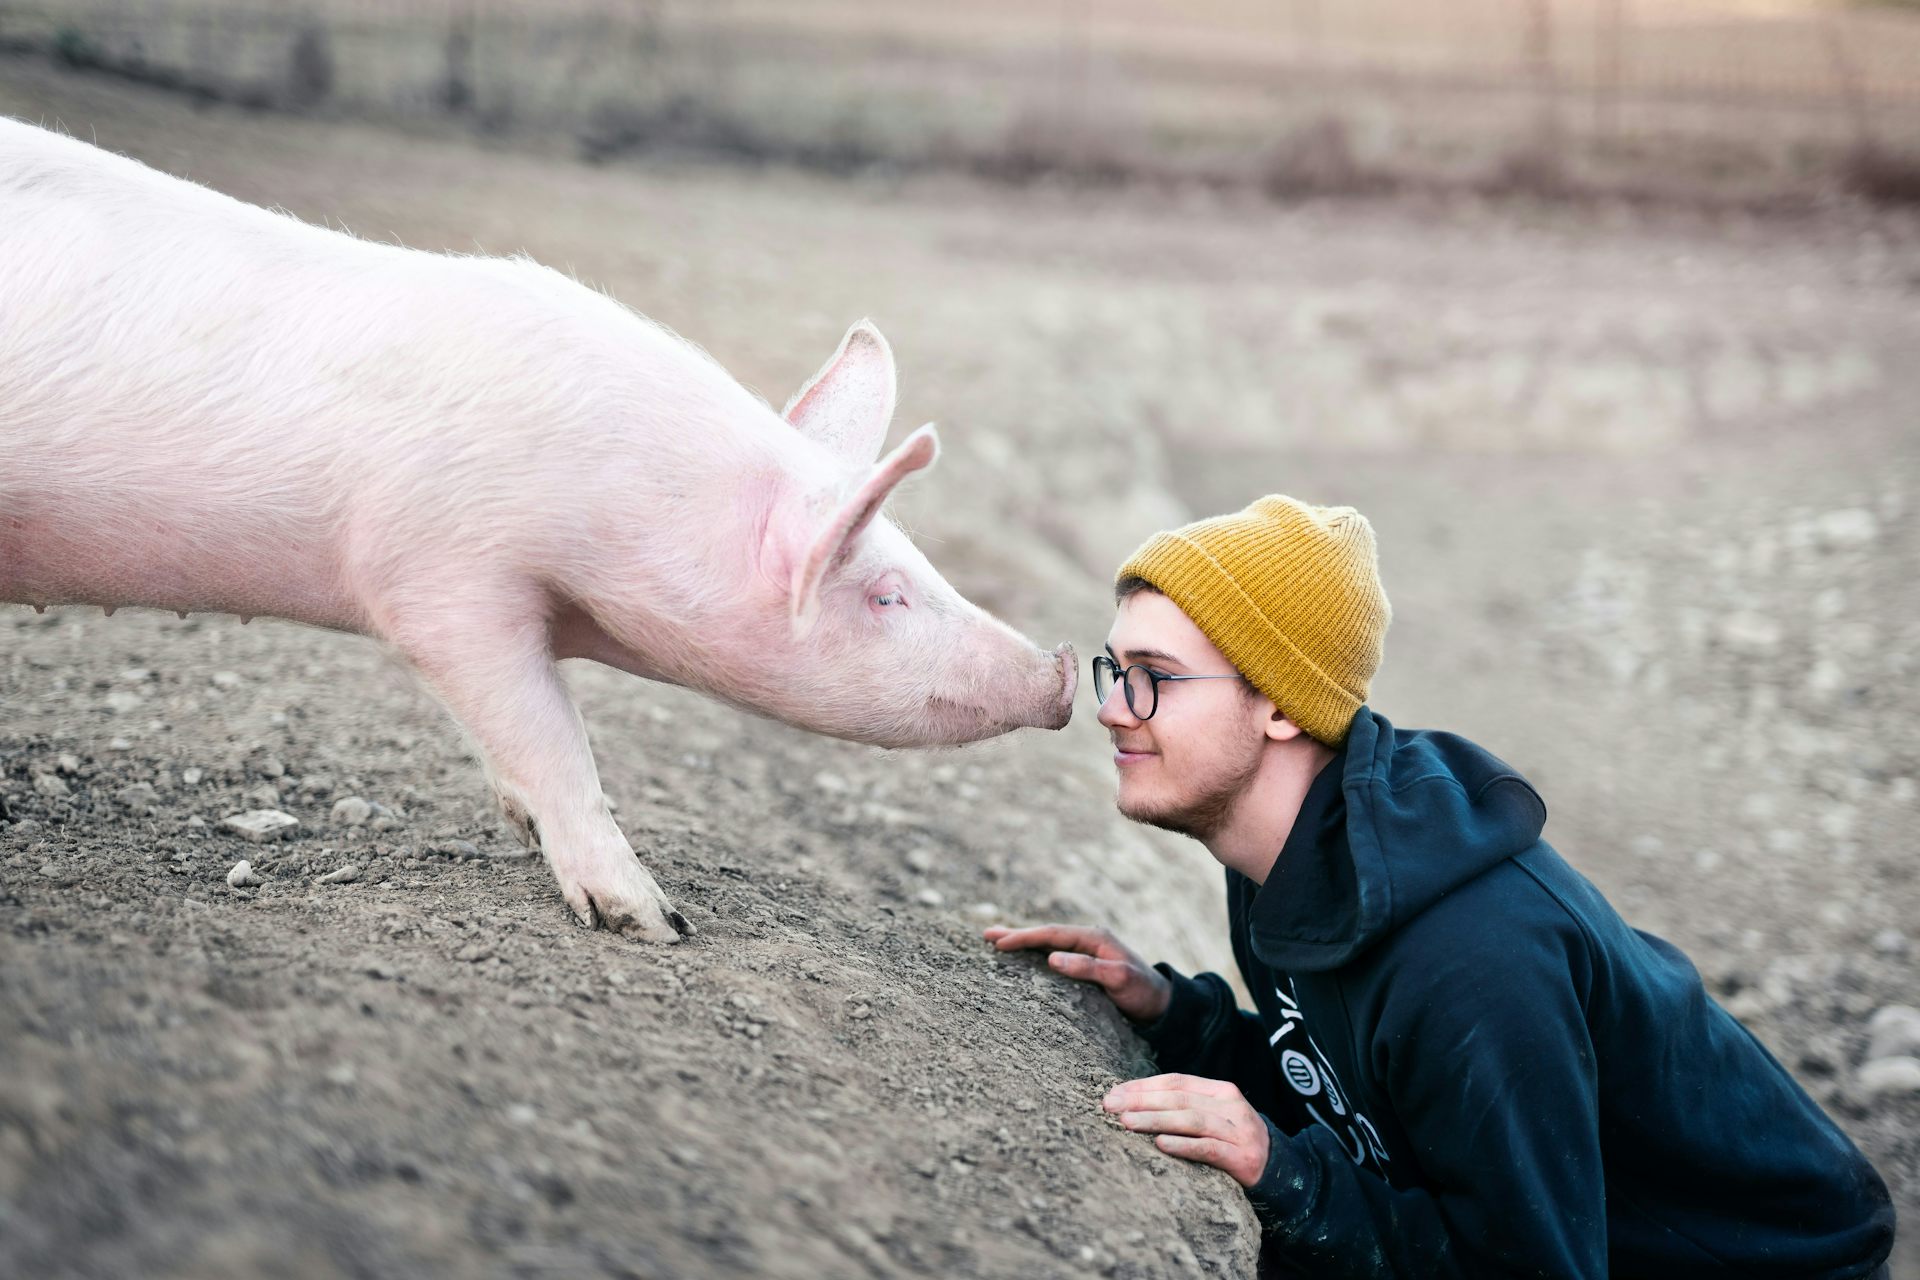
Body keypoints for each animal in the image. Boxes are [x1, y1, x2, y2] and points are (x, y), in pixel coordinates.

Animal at [0, 118, 1076, 942]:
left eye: (920, 561)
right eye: (886, 593)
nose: (1063, 670)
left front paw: (522, 827)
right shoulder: (438, 575)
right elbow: (551, 733)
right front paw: (655, 922)